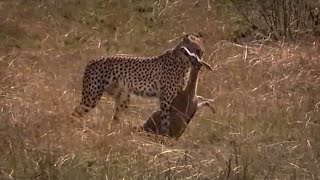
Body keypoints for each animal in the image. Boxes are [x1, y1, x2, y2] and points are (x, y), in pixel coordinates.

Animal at [72, 32, 205, 135]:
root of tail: (92, 60)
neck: (183, 60)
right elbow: (165, 119)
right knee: (76, 112)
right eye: (197, 50)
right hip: (91, 97)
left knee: (115, 118)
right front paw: (164, 135)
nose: (201, 61)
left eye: (202, 51)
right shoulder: (166, 99)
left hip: (123, 97)